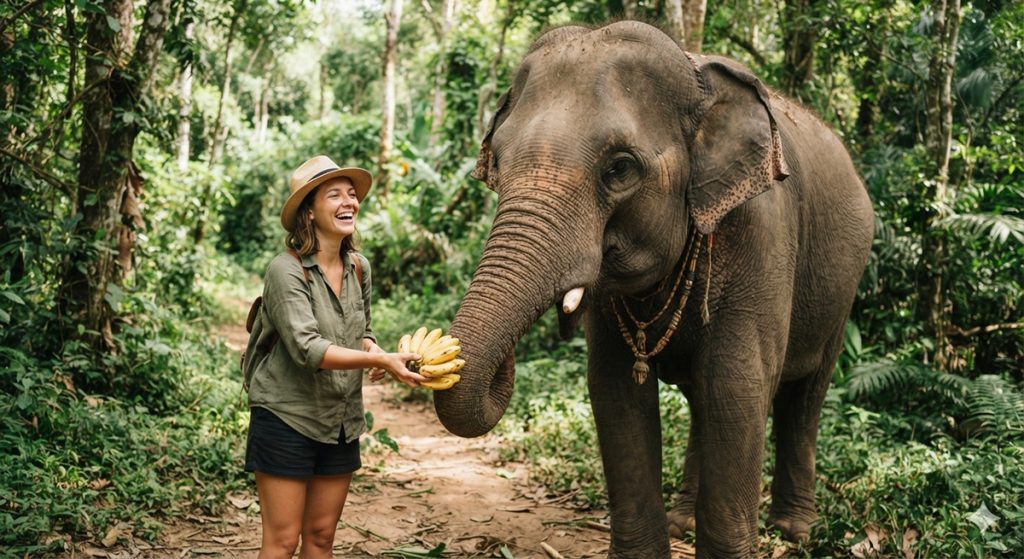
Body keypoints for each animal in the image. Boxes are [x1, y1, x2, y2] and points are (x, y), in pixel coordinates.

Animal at [433, 21, 875, 558]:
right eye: (496, 160)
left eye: (619, 168)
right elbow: (615, 391)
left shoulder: (764, 232)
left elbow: (738, 386)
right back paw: (685, 521)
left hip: (845, 284)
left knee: (803, 398)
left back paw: (795, 531)